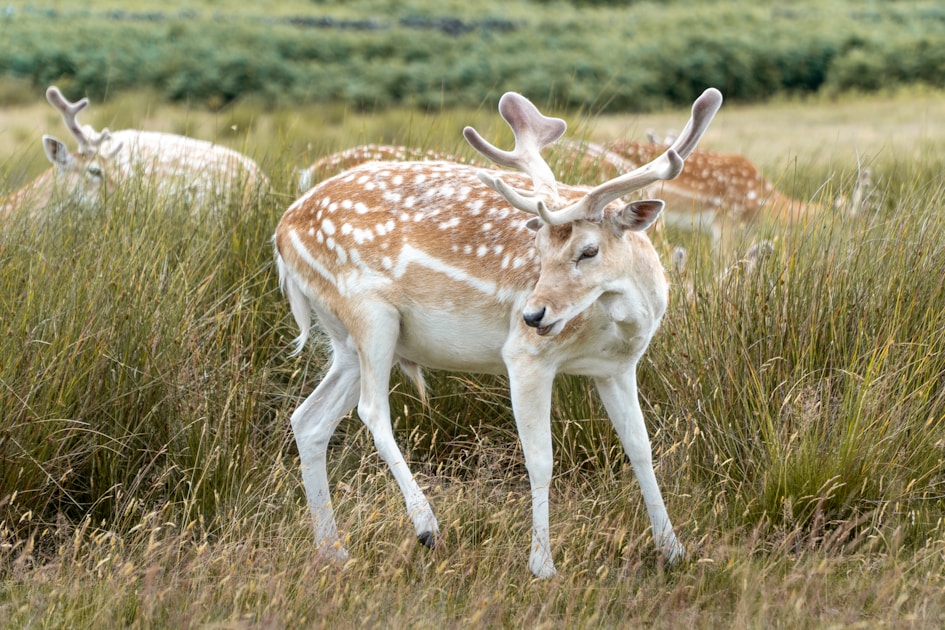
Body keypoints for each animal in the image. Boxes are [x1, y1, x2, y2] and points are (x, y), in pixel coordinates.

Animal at [273, 87, 723, 578]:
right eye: (539, 248)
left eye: (589, 250)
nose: (533, 314)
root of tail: (280, 234)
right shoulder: (525, 357)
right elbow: (541, 459)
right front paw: (542, 565)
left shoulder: (618, 368)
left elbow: (641, 449)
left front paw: (674, 550)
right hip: (370, 314)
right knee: (372, 411)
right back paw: (426, 527)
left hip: (346, 341)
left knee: (308, 419)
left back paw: (332, 551)